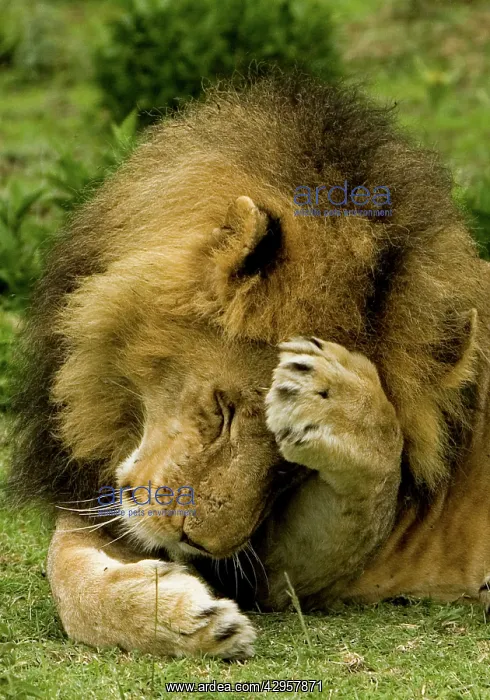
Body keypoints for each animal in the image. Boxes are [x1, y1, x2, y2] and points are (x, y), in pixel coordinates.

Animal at [9, 71, 490, 659]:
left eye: (289, 469)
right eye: (223, 411)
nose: (198, 543)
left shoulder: (292, 576)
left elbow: (375, 474)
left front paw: (340, 395)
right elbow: (67, 577)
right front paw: (185, 620)